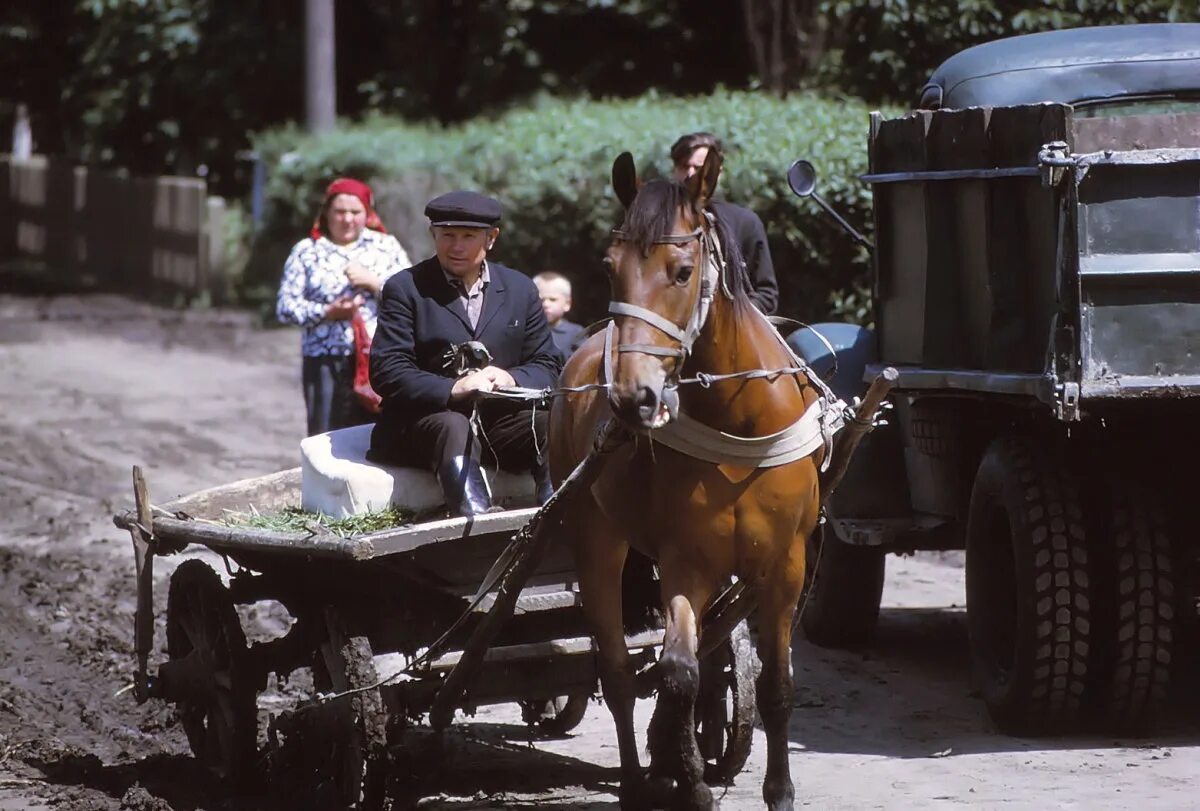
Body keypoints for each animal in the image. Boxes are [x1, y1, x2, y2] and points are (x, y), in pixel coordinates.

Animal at [549, 148, 830, 806]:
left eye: (681, 271)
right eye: (610, 267)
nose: (632, 396)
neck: (742, 428)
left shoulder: (784, 566)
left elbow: (775, 685)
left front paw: (776, 788)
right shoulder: (686, 560)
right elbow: (678, 673)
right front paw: (692, 780)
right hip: (596, 539)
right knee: (619, 671)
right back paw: (638, 776)